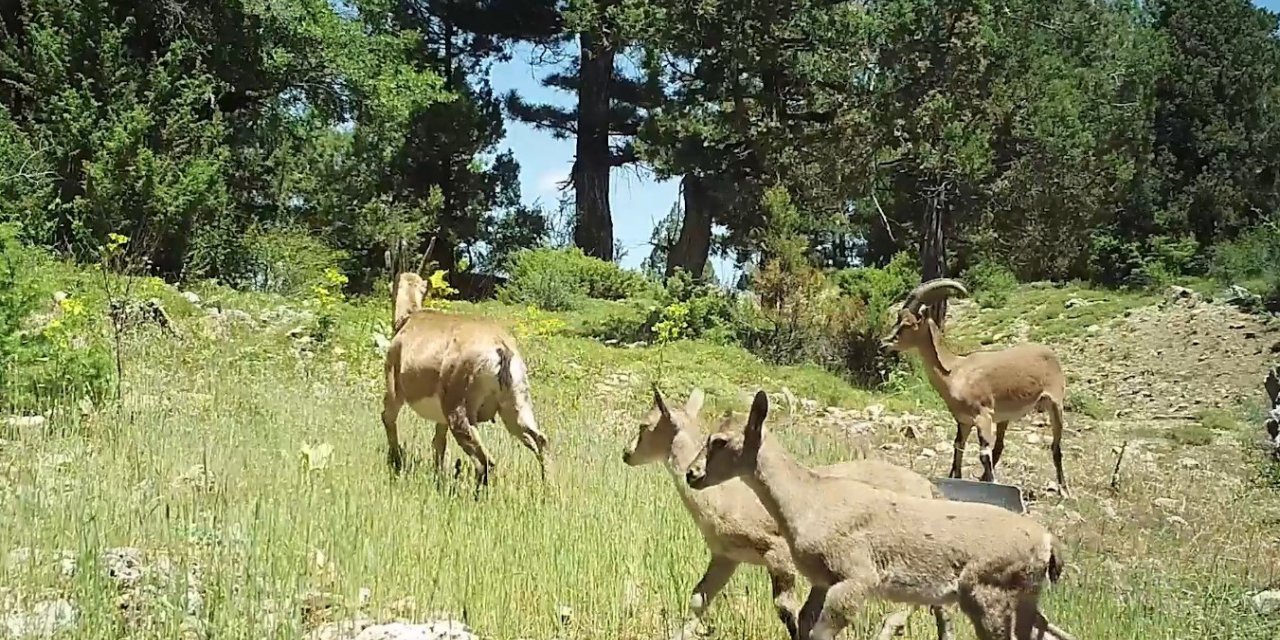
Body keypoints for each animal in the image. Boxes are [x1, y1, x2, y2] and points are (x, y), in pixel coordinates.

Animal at [373, 241, 545, 486]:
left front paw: (396, 463)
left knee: (486, 461)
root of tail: (500, 346)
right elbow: (438, 443)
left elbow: (388, 418)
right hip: (515, 407)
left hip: (459, 413)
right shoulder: (441, 420)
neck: (410, 319)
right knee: (540, 441)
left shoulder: (394, 389)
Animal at [624, 384, 957, 640]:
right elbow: (699, 598)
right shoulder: (726, 555)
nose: (626, 454)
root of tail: (929, 488)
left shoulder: (777, 550)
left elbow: (786, 608)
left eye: (644, 425)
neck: (724, 499)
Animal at [686, 389, 1075, 640]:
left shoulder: (856, 578)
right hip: (1023, 597)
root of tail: (1048, 543)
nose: (692, 474)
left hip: (987, 594)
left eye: (719, 441)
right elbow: (804, 624)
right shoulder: (822, 580)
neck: (808, 501)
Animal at [880, 277, 1070, 496]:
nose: (883, 344)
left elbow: (983, 454)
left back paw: (1064, 490)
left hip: (1056, 404)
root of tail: (1051, 354)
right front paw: (957, 478)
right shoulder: (963, 421)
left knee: (1056, 447)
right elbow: (958, 447)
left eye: (907, 323)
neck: (955, 371)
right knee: (1000, 446)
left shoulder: (983, 415)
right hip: (1004, 418)